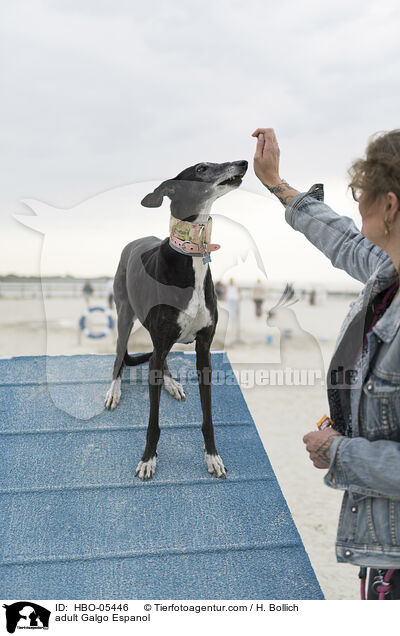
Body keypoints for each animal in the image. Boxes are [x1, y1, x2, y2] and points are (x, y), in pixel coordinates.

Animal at [104, 158, 247, 476]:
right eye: (202, 168)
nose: (243, 163)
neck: (191, 254)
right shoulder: (158, 340)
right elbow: (153, 422)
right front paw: (148, 459)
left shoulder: (204, 350)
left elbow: (207, 417)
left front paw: (212, 456)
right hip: (124, 314)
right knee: (121, 356)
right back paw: (114, 391)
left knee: (160, 358)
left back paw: (170, 383)